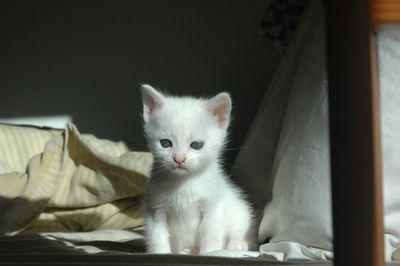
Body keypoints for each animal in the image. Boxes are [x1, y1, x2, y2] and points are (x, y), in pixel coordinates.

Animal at [142, 84, 255, 254]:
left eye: (196, 145)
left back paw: (237, 244)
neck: (184, 182)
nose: (179, 159)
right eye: (165, 143)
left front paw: (210, 252)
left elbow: (210, 233)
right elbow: (157, 233)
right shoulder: (155, 208)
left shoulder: (213, 207)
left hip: (239, 211)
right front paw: (160, 252)